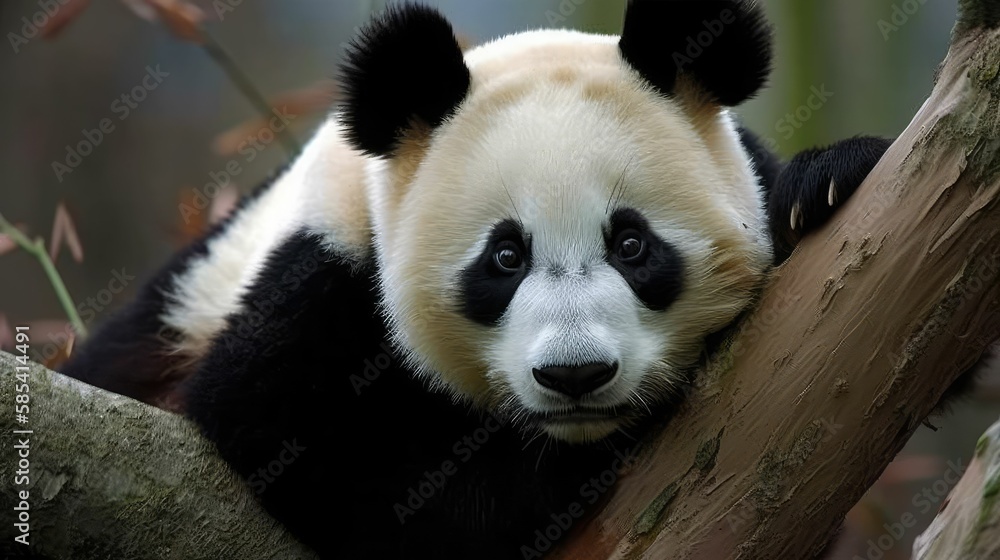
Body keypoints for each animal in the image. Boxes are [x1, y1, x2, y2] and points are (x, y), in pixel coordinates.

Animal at [62, 1, 894, 558]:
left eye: (632, 245)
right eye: (505, 258)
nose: (576, 375)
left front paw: (825, 182)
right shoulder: (324, 280)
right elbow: (317, 449)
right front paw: (581, 463)